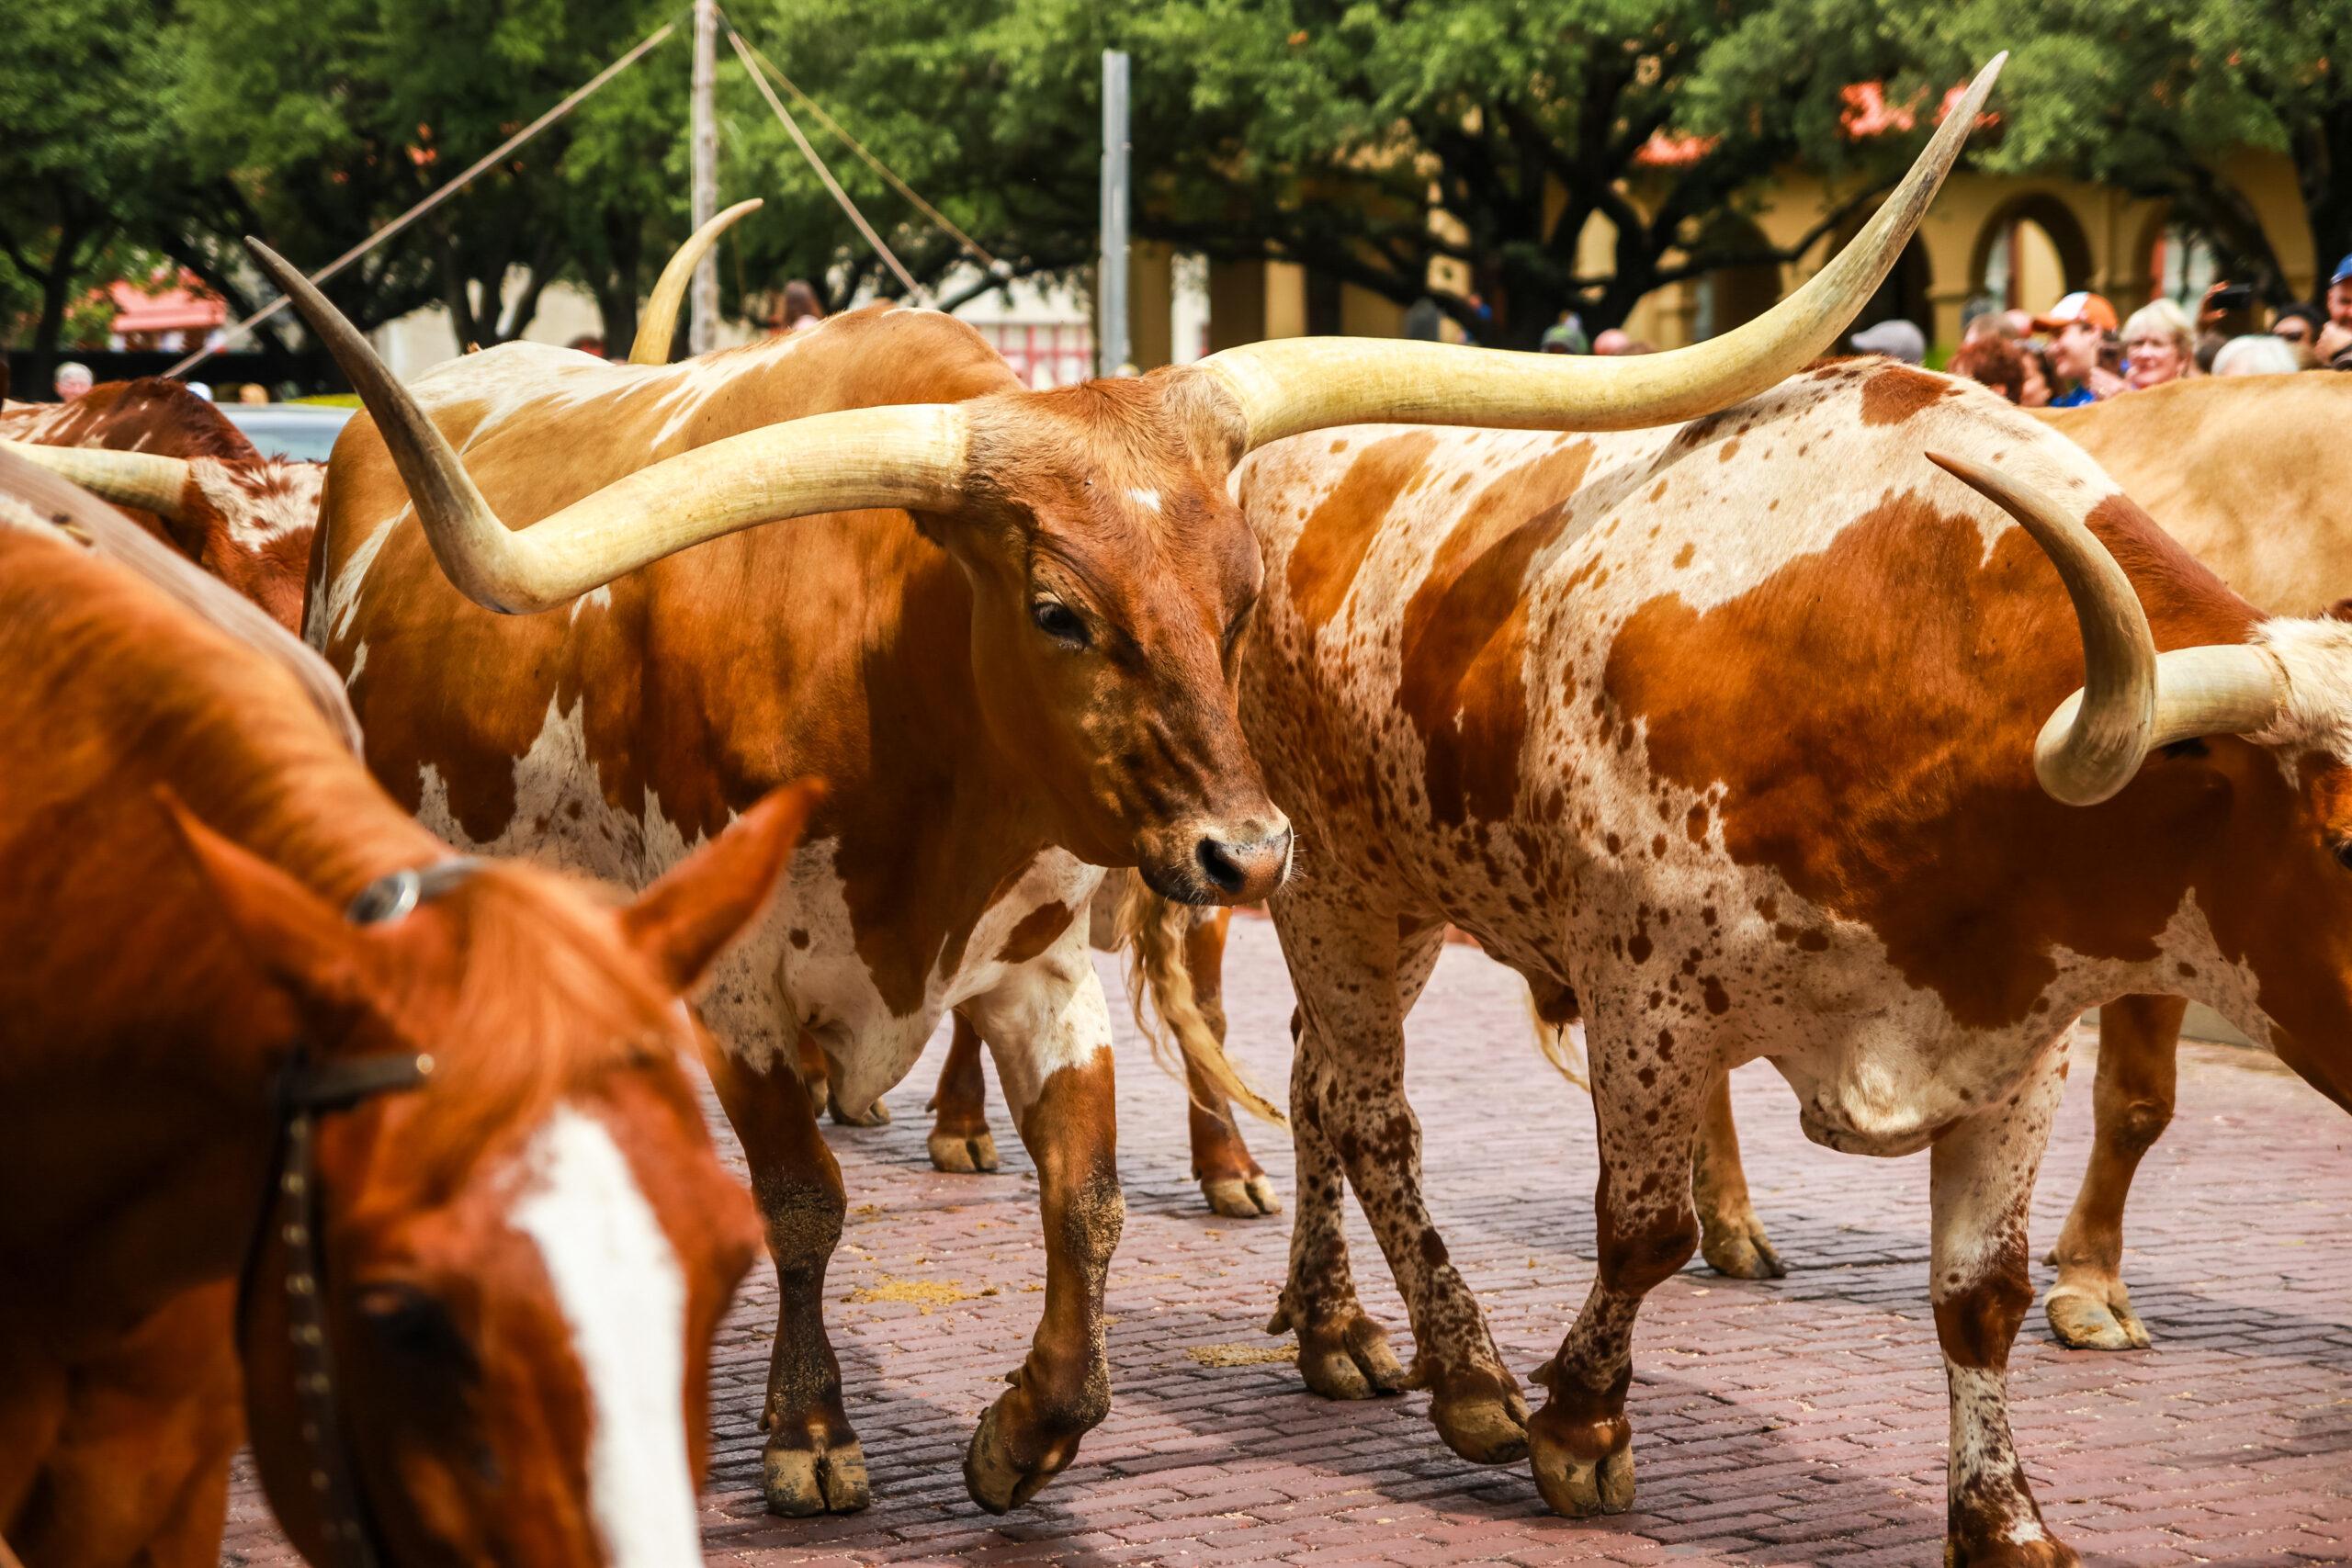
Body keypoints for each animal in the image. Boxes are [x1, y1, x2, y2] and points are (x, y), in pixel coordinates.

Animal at [253, 73, 1984, 1523]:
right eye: (1057, 611)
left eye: (1237, 595)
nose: (1251, 848)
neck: (890, 706)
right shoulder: (742, 993)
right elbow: (804, 1202)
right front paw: (808, 1434)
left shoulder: (1034, 960)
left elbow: (1084, 1205)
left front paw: (1024, 1427)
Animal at [1161, 359, 2352, 1568]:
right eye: (2343, 842)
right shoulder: (1646, 1002)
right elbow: (1643, 1233)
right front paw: (1579, 1426)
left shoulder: (2021, 1044)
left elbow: (1982, 1294)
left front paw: (2002, 1520)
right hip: (1334, 886)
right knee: (1373, 1118)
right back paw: (1465, 1376)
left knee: (1316, 1084)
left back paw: (1333, 1327)